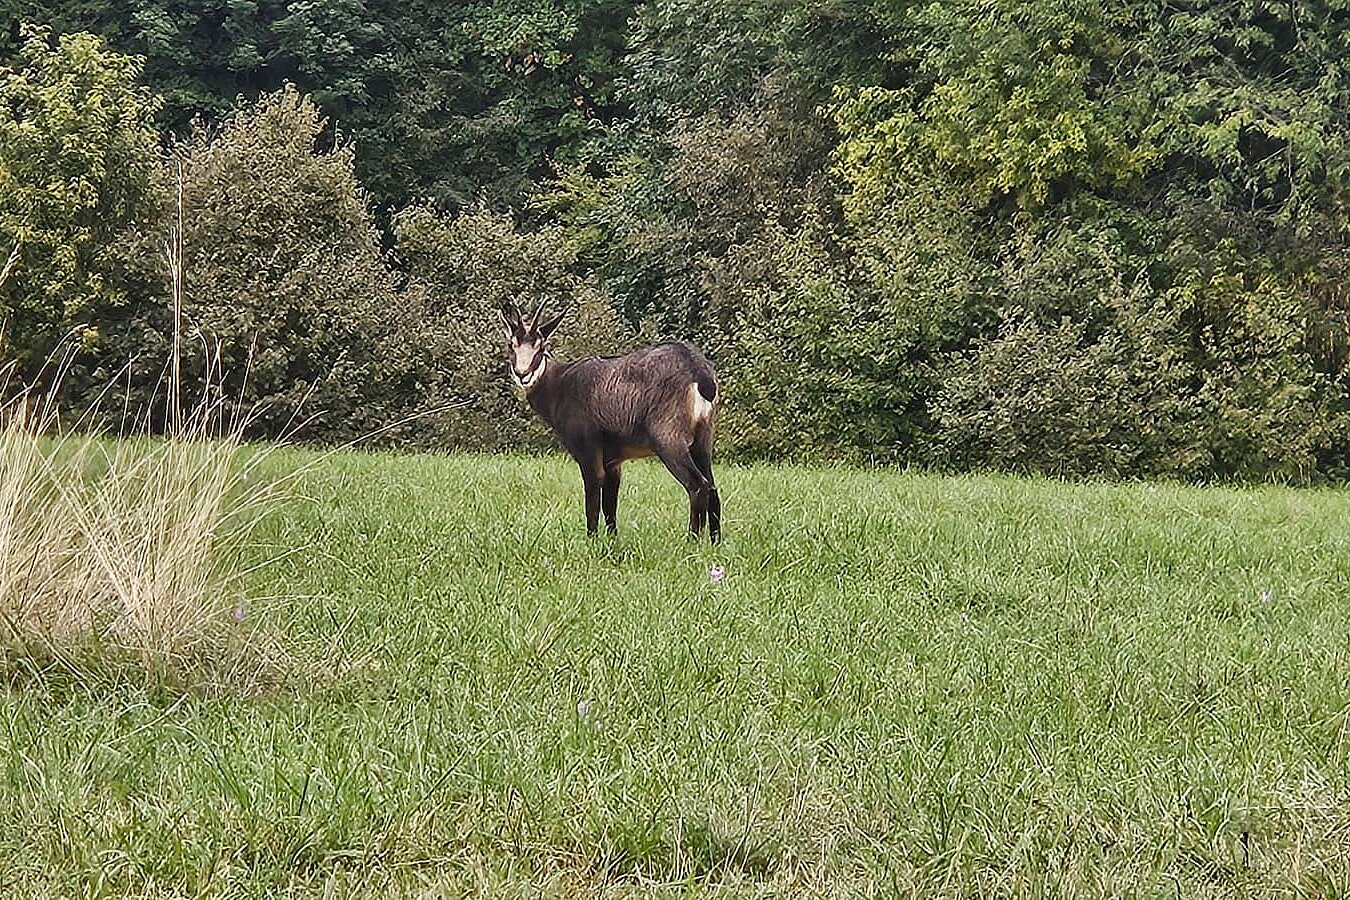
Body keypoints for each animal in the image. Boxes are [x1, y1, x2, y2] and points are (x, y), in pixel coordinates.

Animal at [499, 303, 722, 541]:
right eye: (511, 346)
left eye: (540, 348)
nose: (522, 374)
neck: (558, 385)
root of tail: (700, 374)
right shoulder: (613, 459)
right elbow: (610, 505)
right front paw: (612, 541)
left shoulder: (588, 448)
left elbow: (593, 500)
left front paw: (591, 540)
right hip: (702, 439)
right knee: (713, 488)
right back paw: (715, 542)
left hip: (668, 438)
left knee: (698, 485)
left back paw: (692, 541)